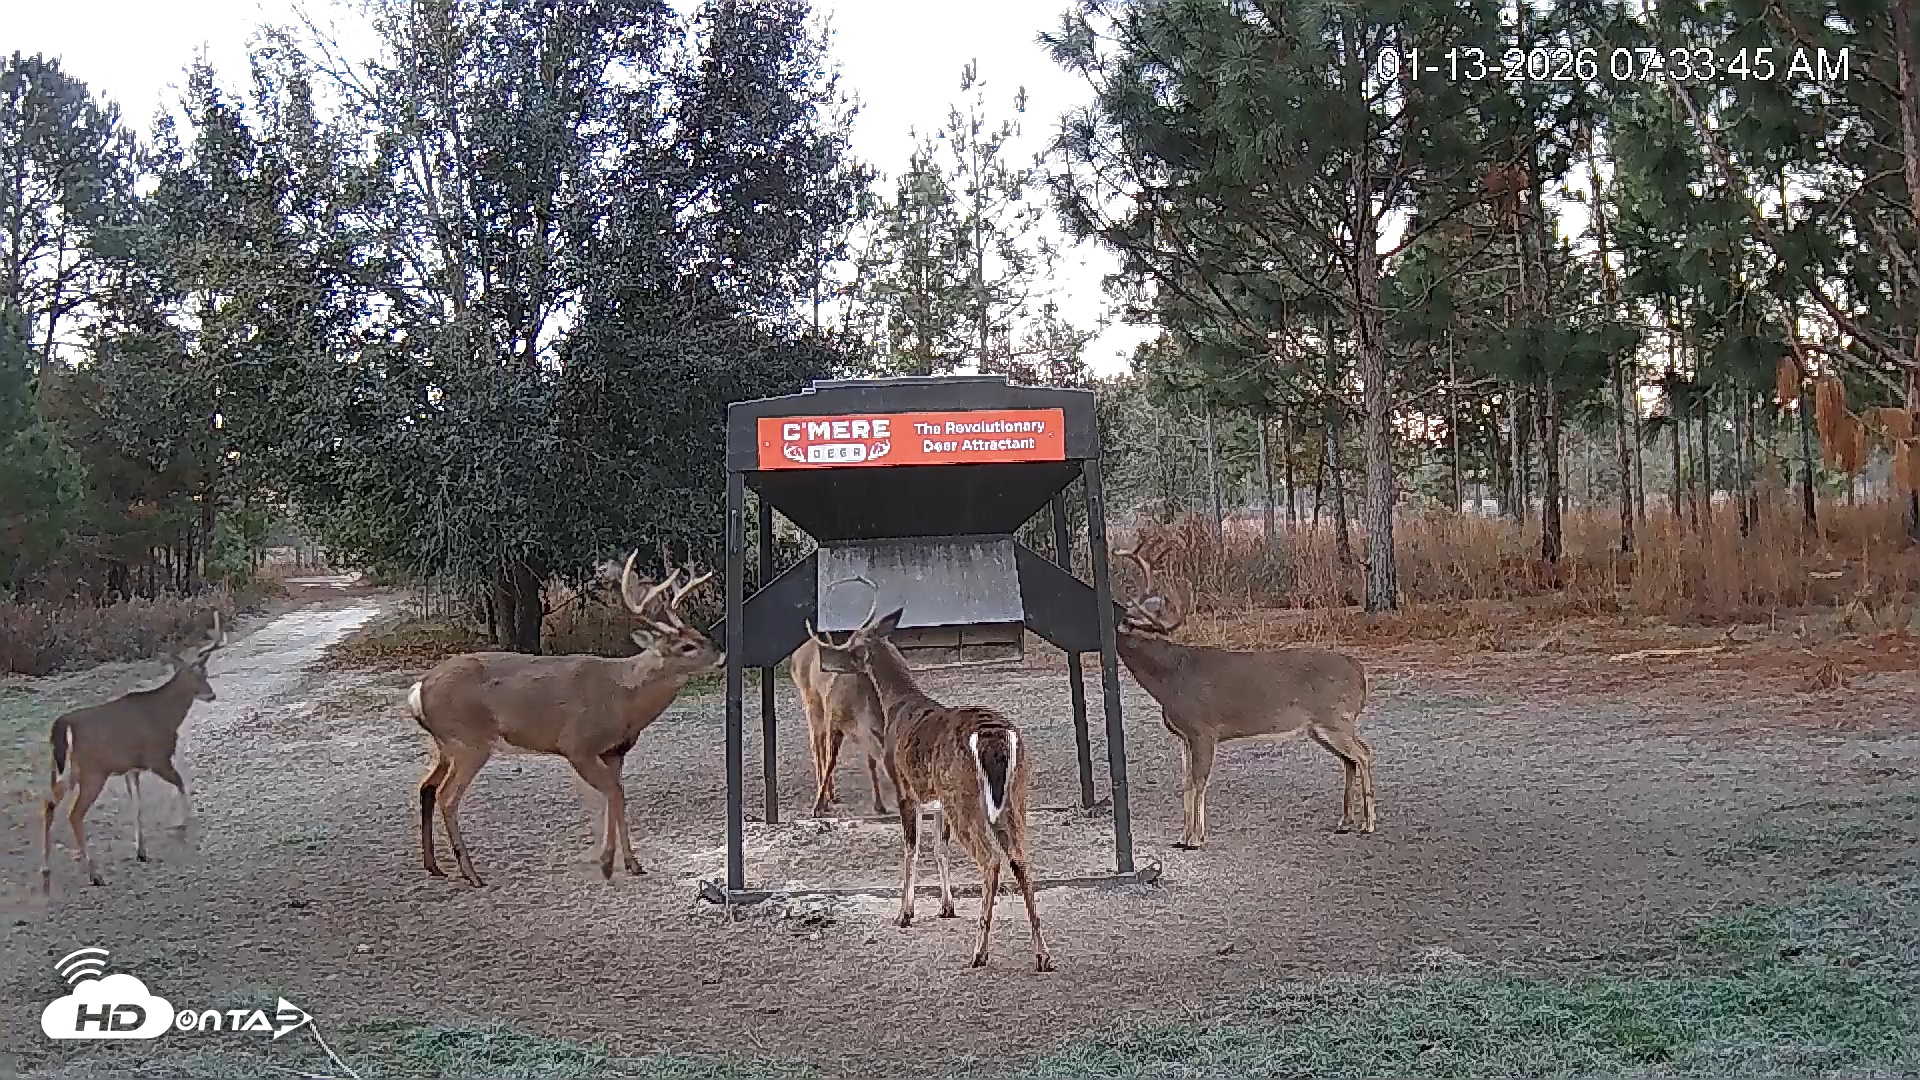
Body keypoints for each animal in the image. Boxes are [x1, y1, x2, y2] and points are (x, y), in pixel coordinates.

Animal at [42, 613, 227, 891]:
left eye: (205, 672)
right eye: (194, 674)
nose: (211, 694)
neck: (166, 717)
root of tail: (63, 726)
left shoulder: (132, 768)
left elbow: (137, 806)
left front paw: (141, 851)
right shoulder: (157, 758)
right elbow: (181, 784)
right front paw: (183, 822)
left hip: (63, 771)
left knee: (49, 806)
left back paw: (46, 868)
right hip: (93, 772)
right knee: (74, 815)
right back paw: (94, 875)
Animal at [407, 549, 721, 886]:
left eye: (699, 635)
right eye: (687, 646)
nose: (721, 655)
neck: (624, 698)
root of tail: (419, 689)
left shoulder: (614, 752)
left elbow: (616, 796)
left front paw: (631, 863)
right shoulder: (577, 745)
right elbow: (614, 794)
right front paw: (607, 863)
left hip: (447, 744)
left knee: (426, 787)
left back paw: (434, 866)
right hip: (469, 741)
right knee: (447, 796)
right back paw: (471, 873)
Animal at [791, 635, 893, 817]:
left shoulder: (865, 733)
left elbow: (870, 763)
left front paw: (879, 805)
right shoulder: (834, 720)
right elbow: (831, 761)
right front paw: (817, 806)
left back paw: (831, 794)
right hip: (812, 705)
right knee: (816, 746)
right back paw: (825, 795)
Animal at [807, 579, 1053, 972]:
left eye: (851, 646)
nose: (829, 662)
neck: (896, 705)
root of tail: (995, 738)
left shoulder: (905, 787)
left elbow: (912, 847)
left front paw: (904, 914)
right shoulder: (937, 802)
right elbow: (939, 847)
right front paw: (945, 907)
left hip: (963, 795)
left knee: (991, 859)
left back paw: (979, 952)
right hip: (1016, 794)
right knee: (1020, 858)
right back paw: (1042, 954)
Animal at [1110, 534, 1376, 848]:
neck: (1169, 680)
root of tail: (1359, 670)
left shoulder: (1203, 728)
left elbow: (1199, 782)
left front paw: (1195, 838)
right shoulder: (1184, 735)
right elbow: (1186, 783)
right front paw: (1183, 836)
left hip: (1335, 717)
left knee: (1363, 753)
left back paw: (1369, 824)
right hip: (1320, 727)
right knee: (1350, 760)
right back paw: (1345, 822)